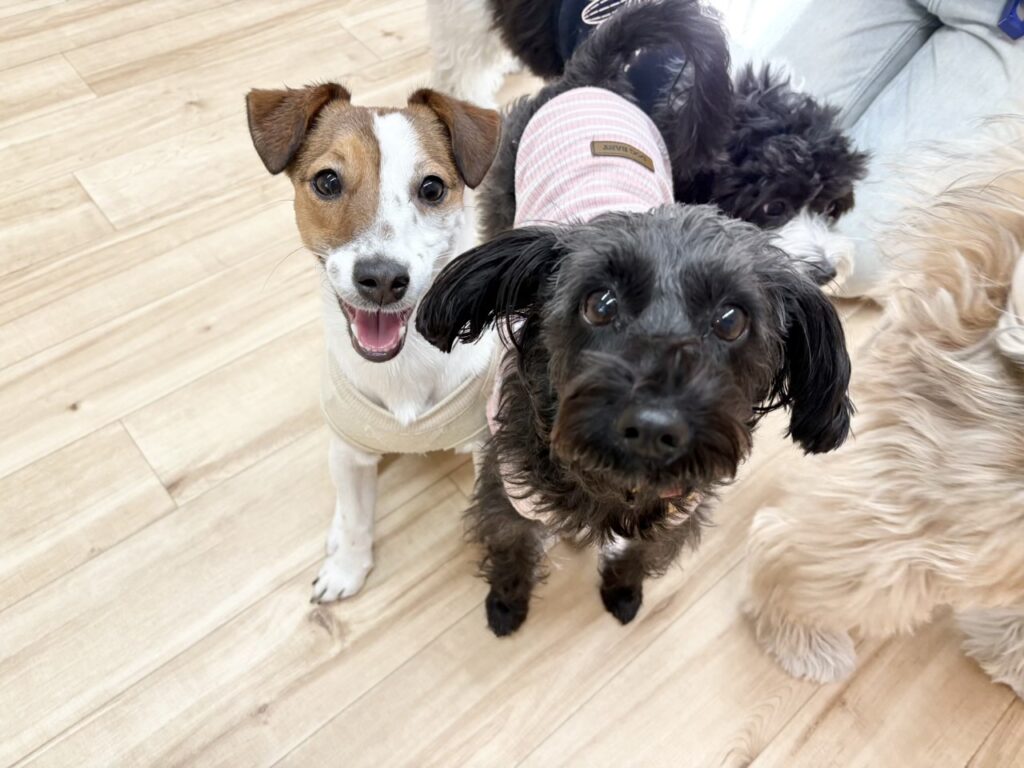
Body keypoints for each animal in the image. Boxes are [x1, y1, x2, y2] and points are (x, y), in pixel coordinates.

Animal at [245, 84, 500, 602]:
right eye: (327, 181)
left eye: (432, 188)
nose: (382, 279)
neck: (404, 363)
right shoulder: (350, 452)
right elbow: (357, 520)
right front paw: (347, 567)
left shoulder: (485, 443)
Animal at [416, 3, 853, 637]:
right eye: (599, 304)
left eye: (732, 320)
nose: (652, 424)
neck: (618, 487)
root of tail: (593, 77)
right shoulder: (507, 492)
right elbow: (512, 548)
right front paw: (506, 604)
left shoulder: (679, 511)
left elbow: (641, 556)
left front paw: (623, 593)